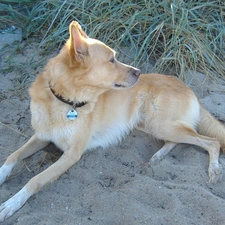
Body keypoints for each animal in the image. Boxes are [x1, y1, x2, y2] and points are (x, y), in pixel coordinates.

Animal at [0, 21, 225, 221]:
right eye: (111, 60)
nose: (138, 71)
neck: (64, 101)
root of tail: (188, 87)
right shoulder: (41, 135)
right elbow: (13, 156)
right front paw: (2, 175)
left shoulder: (73, 153)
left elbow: (35, 179)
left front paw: (12, 203)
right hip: (151, 125)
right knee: (179, 140)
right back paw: (158, 157)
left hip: (161, 125)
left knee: (211, 142)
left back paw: (214, 169)